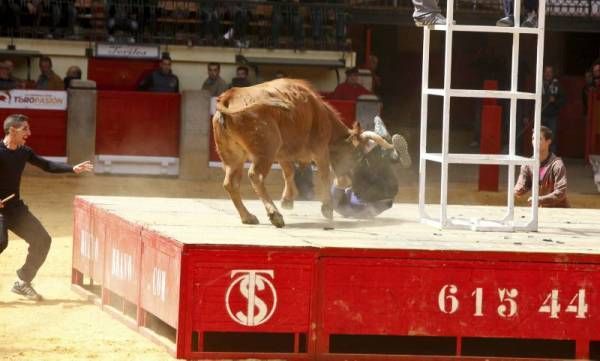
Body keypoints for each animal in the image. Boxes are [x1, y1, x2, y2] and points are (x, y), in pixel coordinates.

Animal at [213, 78, 392, 226]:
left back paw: (248, 216)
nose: (347, 180)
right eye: (357, 155)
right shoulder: (320, 149)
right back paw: (275, 215)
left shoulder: (283, 153)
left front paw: (287, 200)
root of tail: (228, 97)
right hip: (266, 151)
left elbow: (289, 172)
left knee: (230, 183)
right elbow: (324, 175)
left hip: (234, 157)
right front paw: (327, 208)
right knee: (255, 176)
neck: (319, 112)